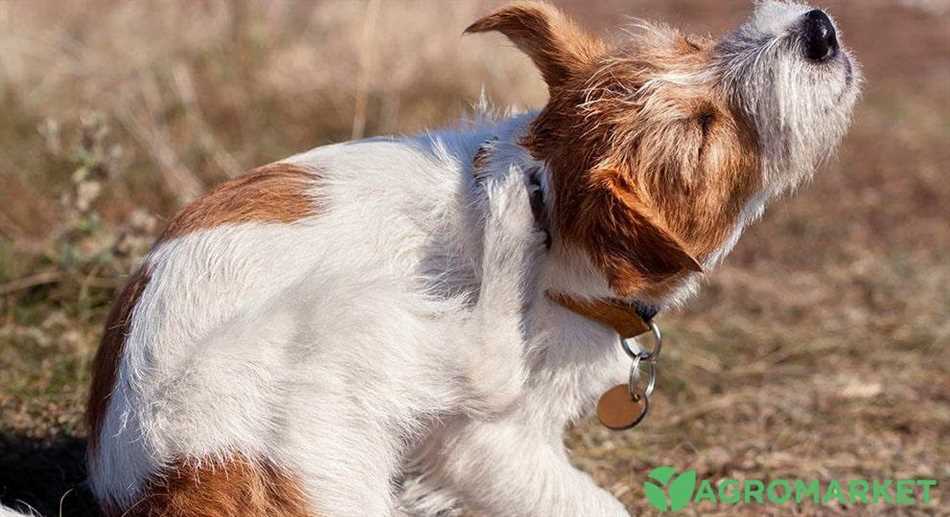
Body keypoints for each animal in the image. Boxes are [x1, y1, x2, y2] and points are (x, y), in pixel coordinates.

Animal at [83, 2, 864, 512]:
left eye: (694, 44)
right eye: (704, 130)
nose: (819, 29)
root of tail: (178, 480)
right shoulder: (487, 446)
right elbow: (591, 502)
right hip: (350, 314)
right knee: (486, 366)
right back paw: (507, 217)